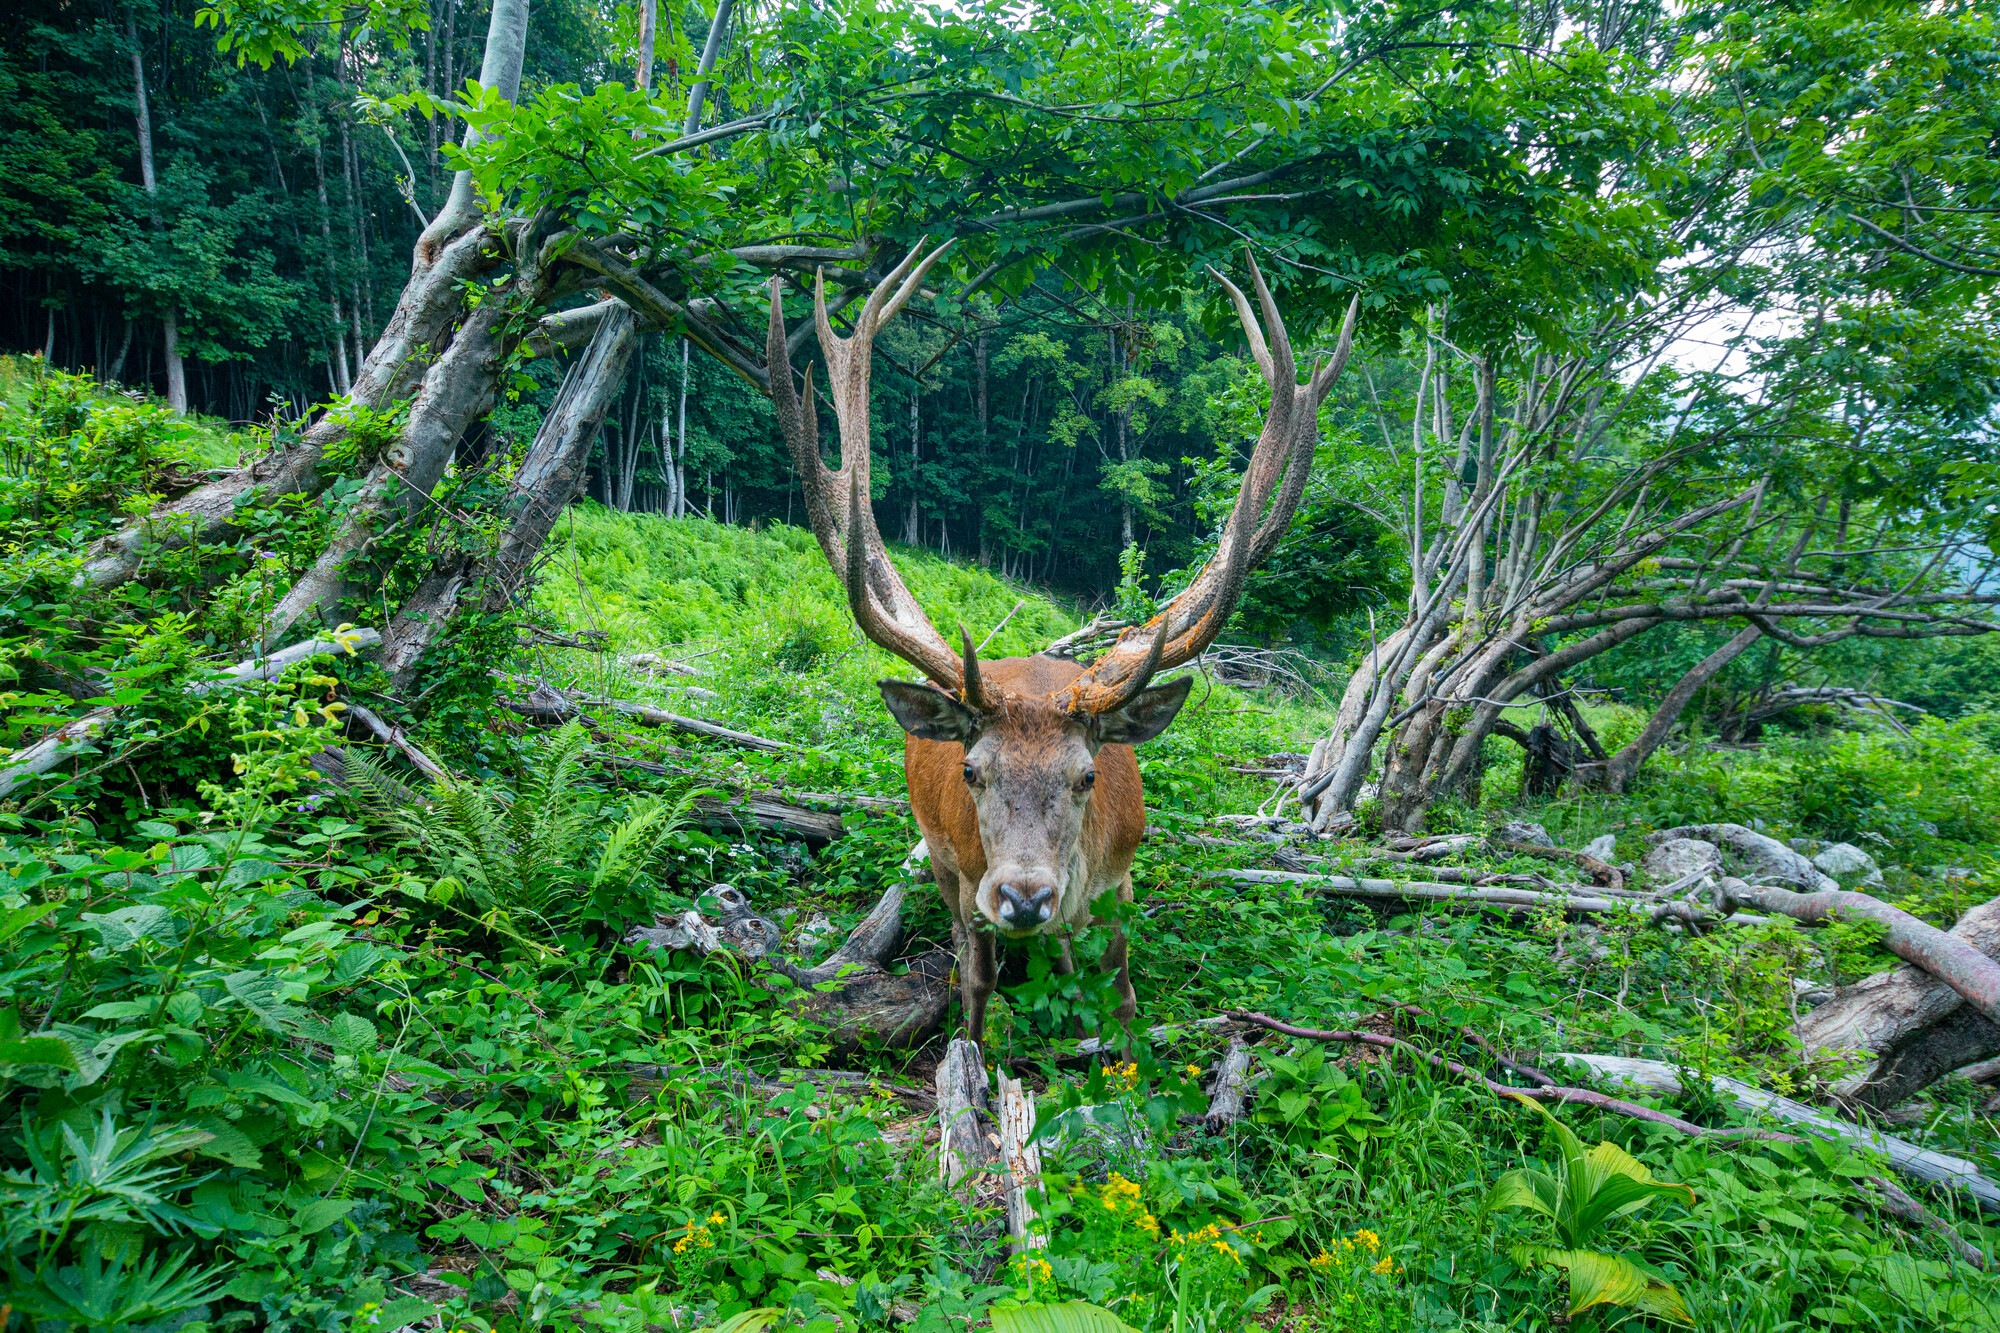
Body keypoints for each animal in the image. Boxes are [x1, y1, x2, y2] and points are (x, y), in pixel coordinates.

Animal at [764, 241, 1358, 1049]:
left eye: (1087, 775)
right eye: (972, 771)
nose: (1023, 897)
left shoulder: (1120, 877)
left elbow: (1124, 992)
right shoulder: (967, 875)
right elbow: (976, 986)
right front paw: (975, 1058)